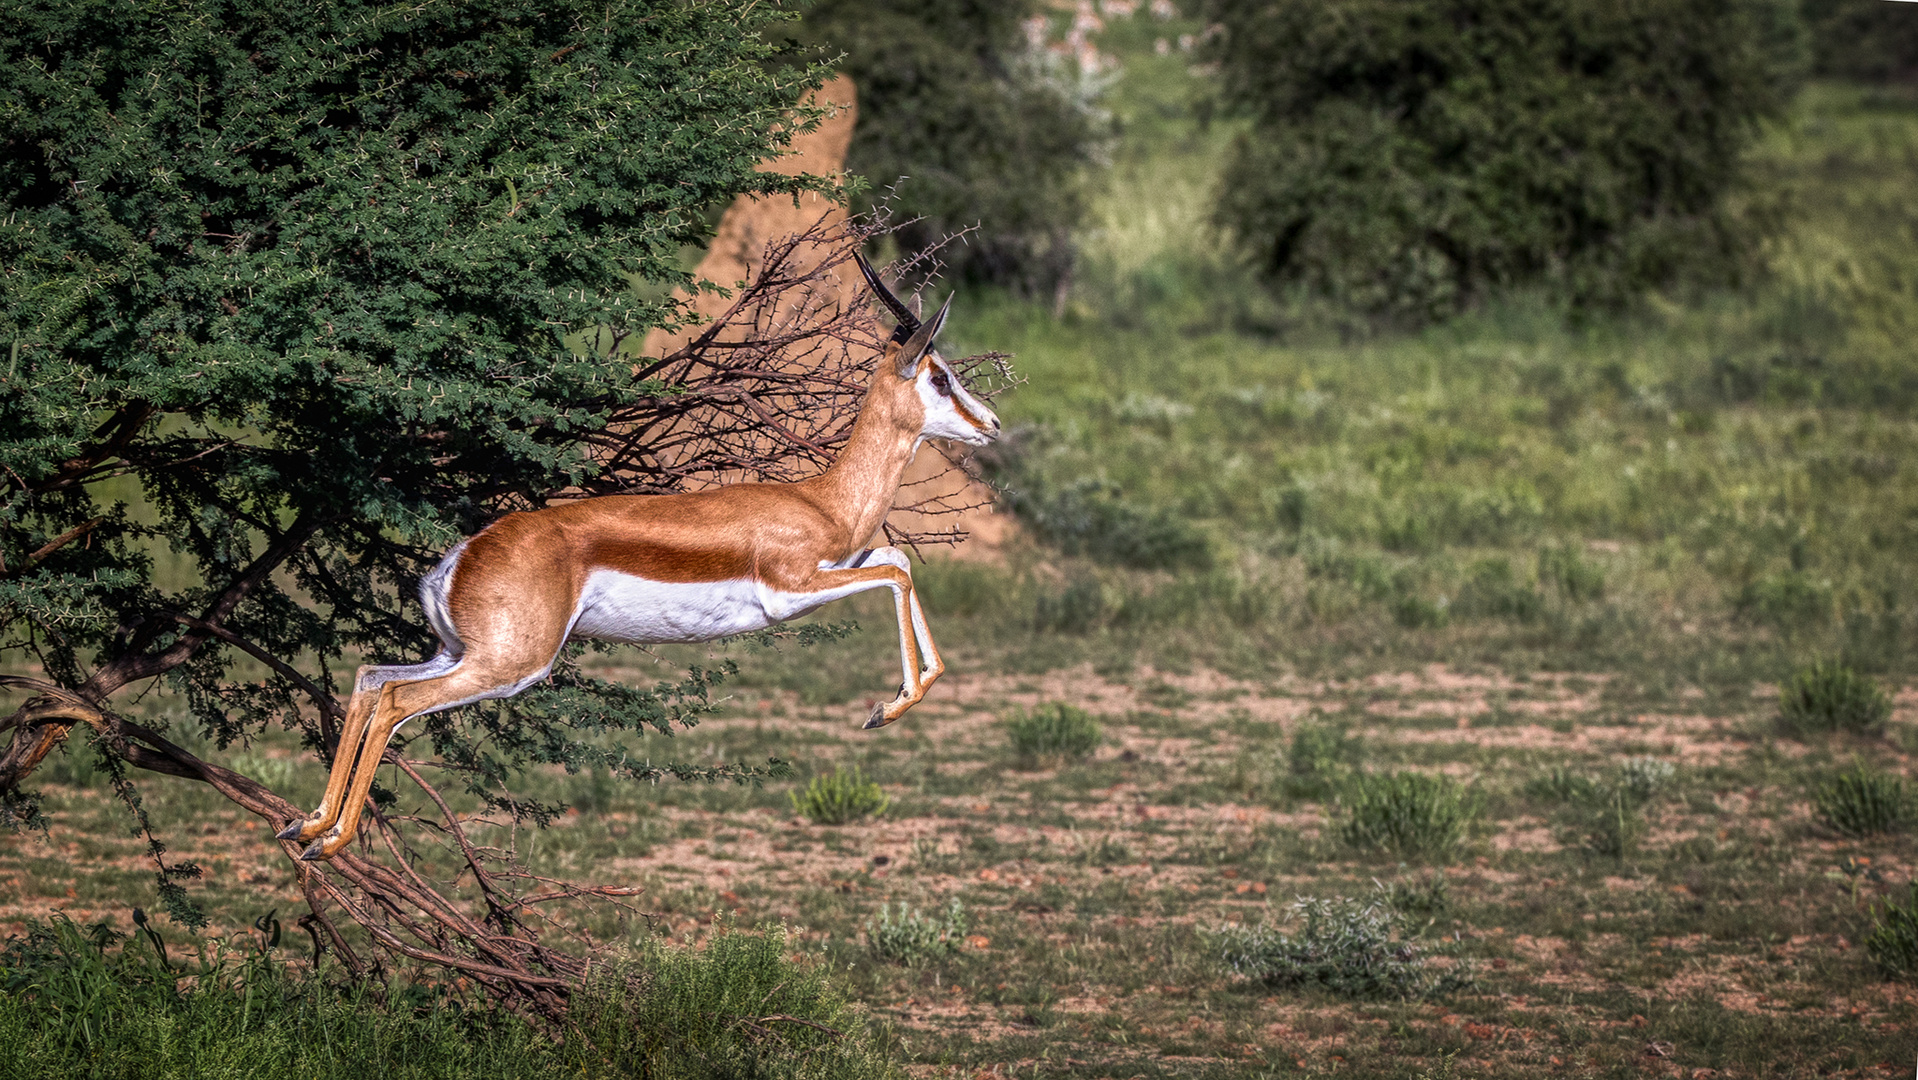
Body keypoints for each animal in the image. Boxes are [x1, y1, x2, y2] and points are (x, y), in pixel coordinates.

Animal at [287, 253, 1005, 863]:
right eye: (940, 376)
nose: (993, 424)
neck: (823, 501)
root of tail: (461, 558)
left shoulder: (837, 566)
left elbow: (897, 561)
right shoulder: (790, 590)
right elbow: (893, 573)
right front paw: (887, 708)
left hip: (460, 654)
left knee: (370, 679)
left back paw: (307, 825)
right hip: (510, 665)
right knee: (394, 702)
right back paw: (331, 840)